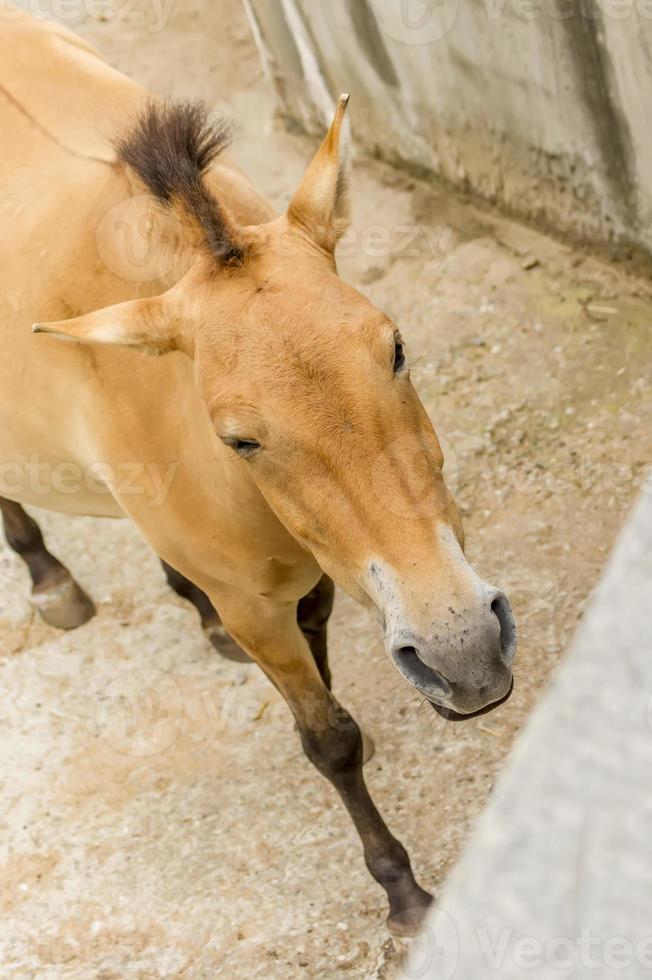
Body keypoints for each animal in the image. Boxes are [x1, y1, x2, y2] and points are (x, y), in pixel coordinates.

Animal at [1, 9, 516, 940]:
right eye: (237, 438)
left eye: (395, 347)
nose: (465, 652)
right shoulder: (258, 609)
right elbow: (330, 740)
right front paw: (403, 890)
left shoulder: (313, 578)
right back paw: (50, 578)